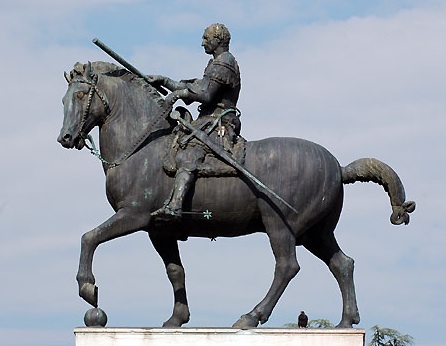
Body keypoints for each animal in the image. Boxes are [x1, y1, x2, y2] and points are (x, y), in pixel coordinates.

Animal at [58, 60, 414, 328]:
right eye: (63, 100)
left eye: (80, 95)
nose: (65, 138)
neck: (143, 144)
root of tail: (338, 167)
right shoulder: (159, 229)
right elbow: (175, 271)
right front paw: (177, 319)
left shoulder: (133, 214)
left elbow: (89, 237)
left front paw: (88, 287)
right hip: (317, 232)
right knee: (343, 264)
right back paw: (345, 321)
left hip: (280, 224)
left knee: (287, 266)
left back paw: (251, 317)